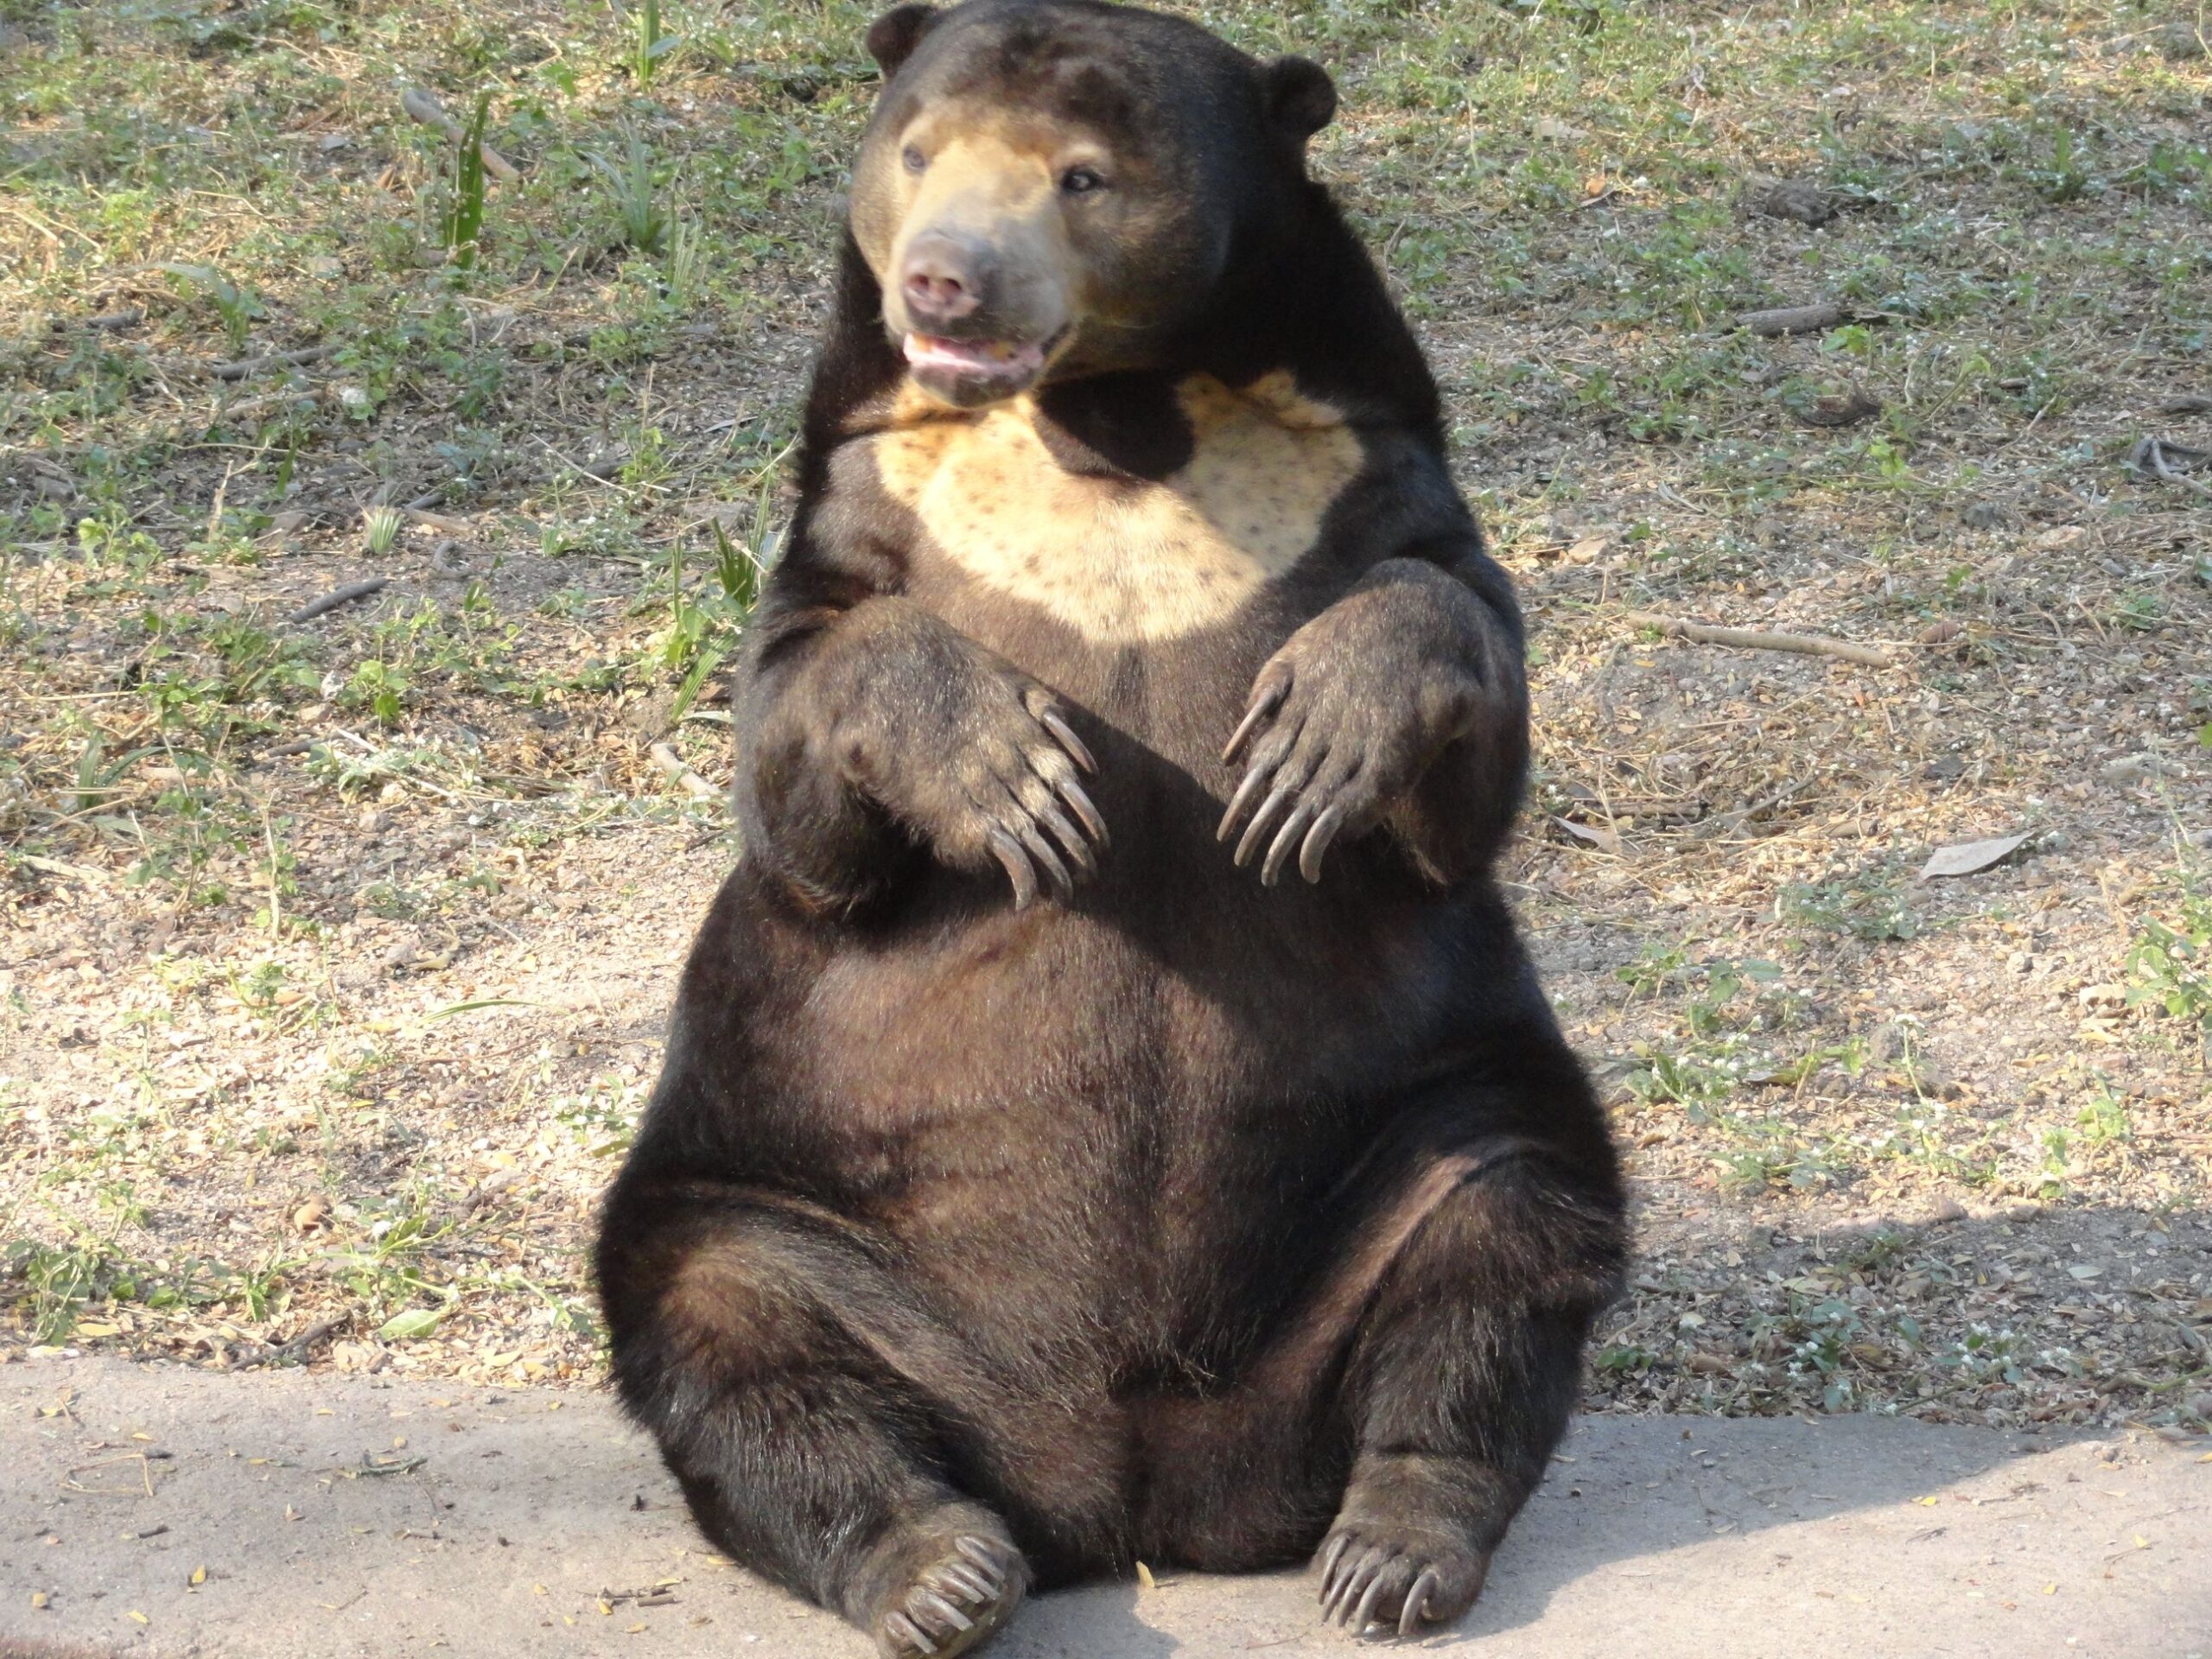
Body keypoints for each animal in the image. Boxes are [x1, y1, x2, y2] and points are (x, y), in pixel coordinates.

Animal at [597, 6, 1637, 1654]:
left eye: (1080, 176)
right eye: (917, 152)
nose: (943, 280)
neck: (1113, 424)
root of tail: (1141, 1495)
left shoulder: (1359, 461)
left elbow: (1460, 682)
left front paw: (1309, 747)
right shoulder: (866, 499)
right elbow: (800, 767)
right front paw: (1021, 780)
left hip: (1420, 1136)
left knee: (1503, 1236)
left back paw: (1393, 1545)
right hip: (780, 1194)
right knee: (730, 1330)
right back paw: (936, 1567)